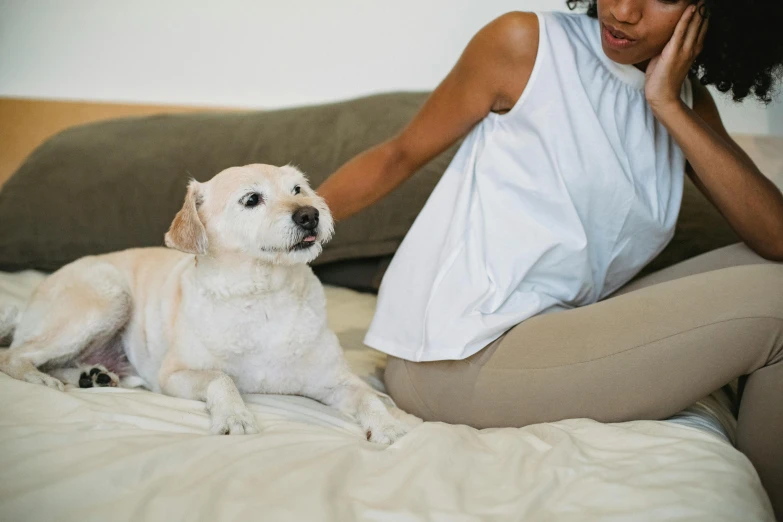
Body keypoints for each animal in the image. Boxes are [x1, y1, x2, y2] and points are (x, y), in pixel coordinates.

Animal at [0, 165, 420, 440]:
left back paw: (92, 376)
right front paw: (234, 416)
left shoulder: (336, 381)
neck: (263, 294)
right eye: (252, 199)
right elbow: (221, 378)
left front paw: (388, 422)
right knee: (16, 356)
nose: (310, 215)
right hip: (106, 297)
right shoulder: (175, 375)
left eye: (298, 189)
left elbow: (370, 397)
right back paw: (44, 378)